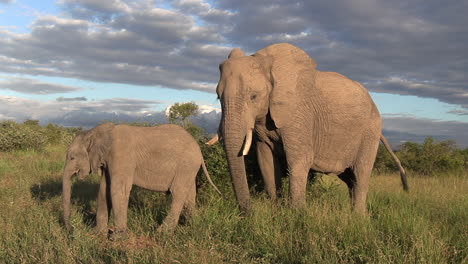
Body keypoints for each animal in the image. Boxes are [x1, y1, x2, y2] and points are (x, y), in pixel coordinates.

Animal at [62, 123, 221, 237]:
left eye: (72, 158)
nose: (71, 230)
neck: (97, 132)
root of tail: (199, 149)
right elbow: (104, 190)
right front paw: (98, 234)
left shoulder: (121, 155)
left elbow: (118, 189)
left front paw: (117, 237)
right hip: (189, 168)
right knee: (189, 196)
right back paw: (189, 227)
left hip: (187, 164)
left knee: (177, 194)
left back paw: (161, 233)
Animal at [214, 42, 408, 213]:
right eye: (217, 97)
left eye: (254, 96)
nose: (248, 213)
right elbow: (266, 160)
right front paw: (276, 213)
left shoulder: (300, 112)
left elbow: (299, 160)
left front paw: (298, 216)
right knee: (350, 179)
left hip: (370, 131)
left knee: (360, 174)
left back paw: (359, 219)